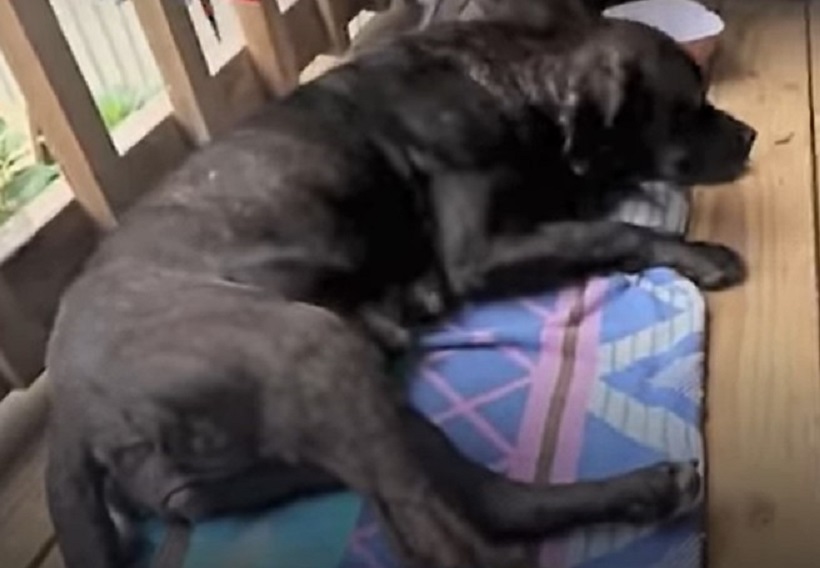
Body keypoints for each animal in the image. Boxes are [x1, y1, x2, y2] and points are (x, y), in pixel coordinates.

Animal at [46, 13, 756, 568]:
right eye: (688, 107)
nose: (749, 134)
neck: (513, 83)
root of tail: (71, 409)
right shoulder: (478, 254)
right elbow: (611, 231)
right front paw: (697, 254)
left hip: (327, 425)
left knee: (486, 497)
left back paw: (645, 490)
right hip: (314, 349)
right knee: (443, 538)